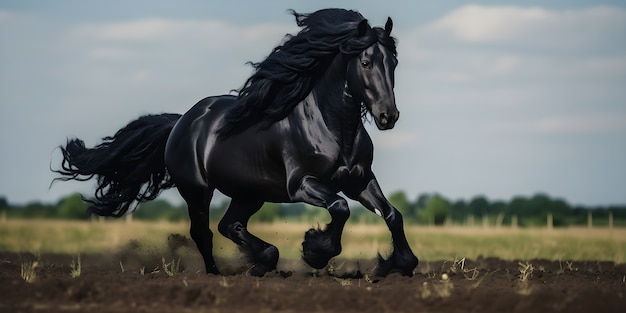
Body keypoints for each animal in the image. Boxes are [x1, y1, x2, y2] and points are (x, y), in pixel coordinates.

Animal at [53, 8, 414, 276]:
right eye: (365, 62)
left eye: (394, 62)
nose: (388, 116)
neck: (334, 128)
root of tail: (181, 122)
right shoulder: (301, 184)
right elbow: (340, 208)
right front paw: (315, 250)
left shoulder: (359, 180)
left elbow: (392, 214)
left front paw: (401, 264)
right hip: (197, 190)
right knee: (204, 232)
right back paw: (219, 274)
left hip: (249, 193)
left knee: (230, 225)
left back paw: (264, 260)